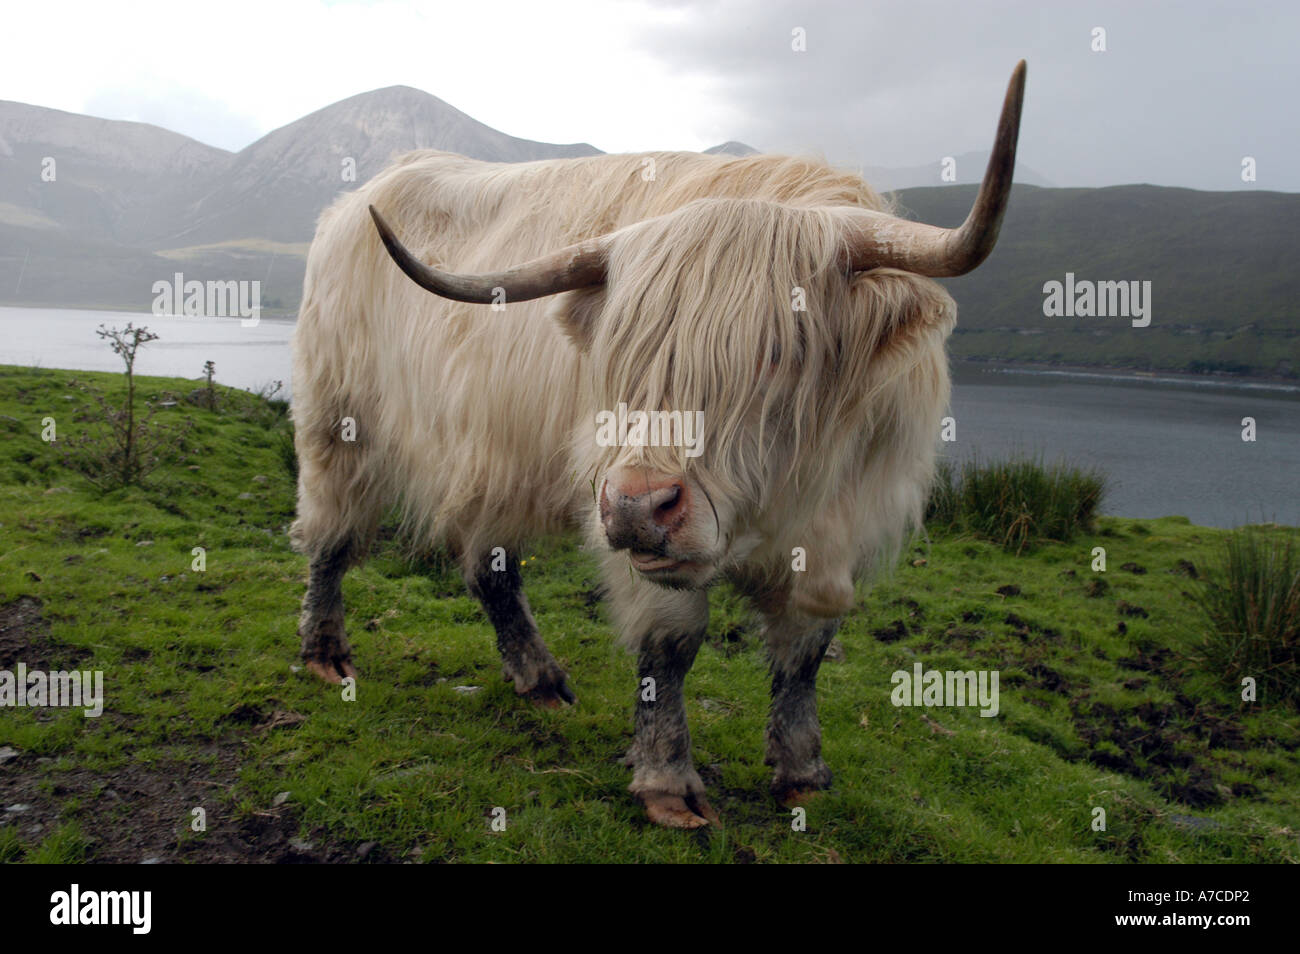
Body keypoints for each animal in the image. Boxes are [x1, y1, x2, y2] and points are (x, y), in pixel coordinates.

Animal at [290, 62, 1026, 829]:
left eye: (779, 351)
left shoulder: (845, 527)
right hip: (339, 422)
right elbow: (670, 646)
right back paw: (326, 653)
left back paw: (538, 678)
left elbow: (806, 648)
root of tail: (366, 195)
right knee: (330, 534)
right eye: (622, 352)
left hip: (487, 455)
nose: (640, 507)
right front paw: (668, 782)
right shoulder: (637, 531)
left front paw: (801, 772)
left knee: (488, 565)